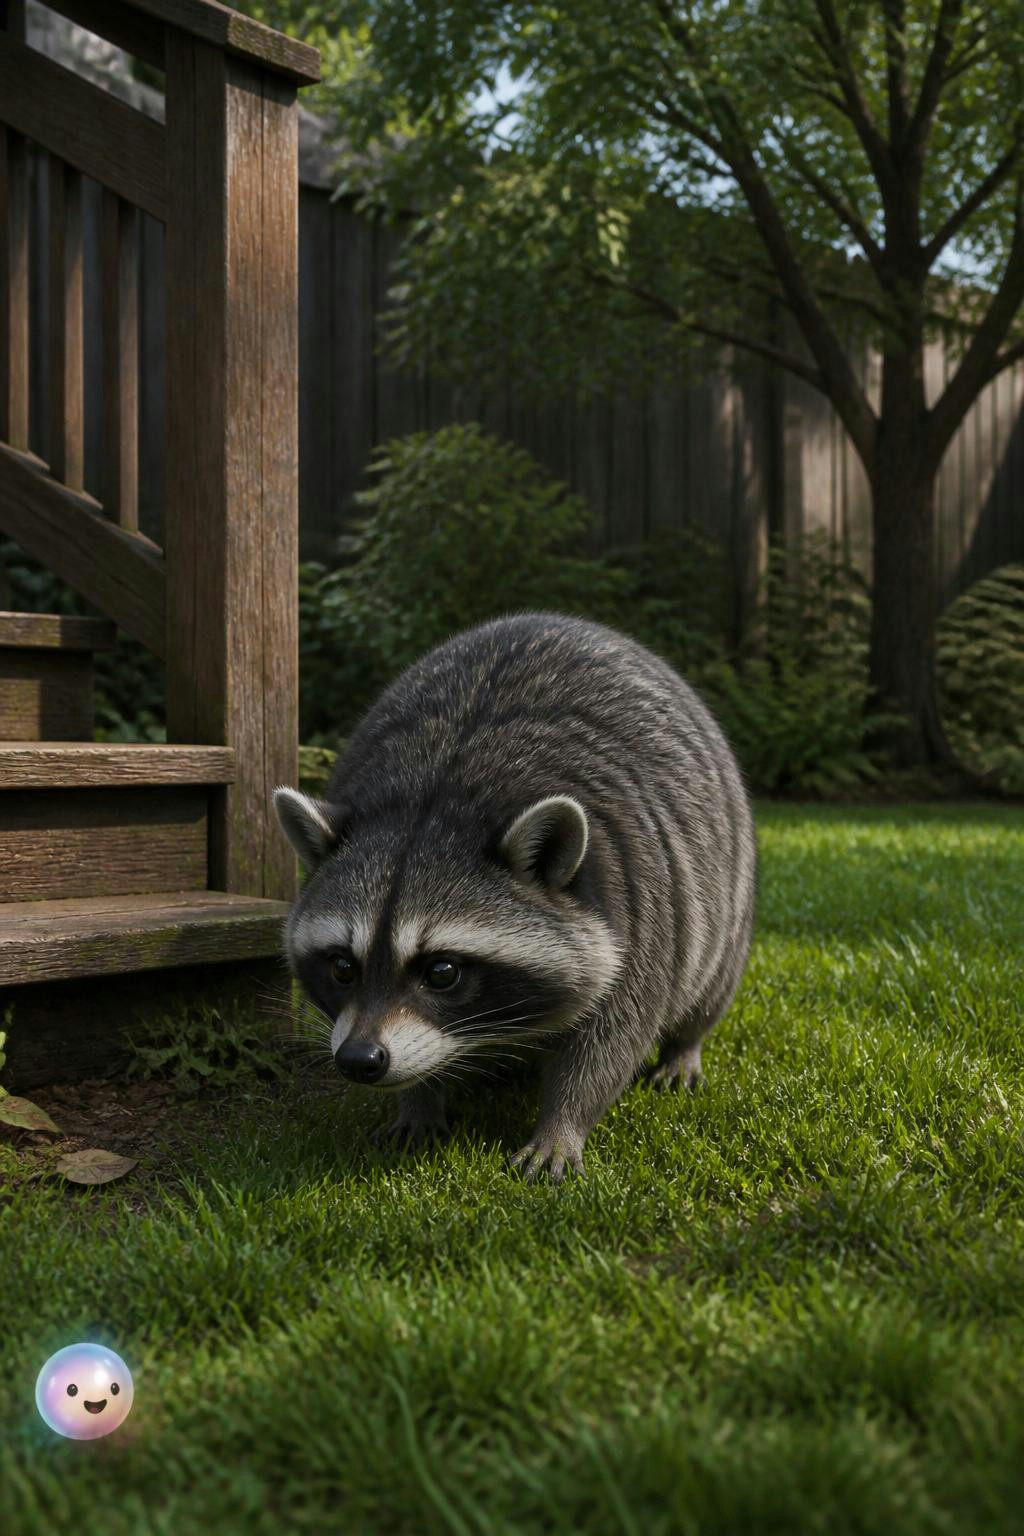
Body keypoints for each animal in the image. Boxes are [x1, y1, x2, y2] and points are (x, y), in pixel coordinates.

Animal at [273, 610, 756, 1182]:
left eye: (442, 972)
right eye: (343, 966)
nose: (359, 1059)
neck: (436, 798)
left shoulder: (638, 905)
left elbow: (611, 1041)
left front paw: (563, 1124)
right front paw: (419, 1101)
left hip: (723, 892)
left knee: (710, 982)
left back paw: (686, 1044)